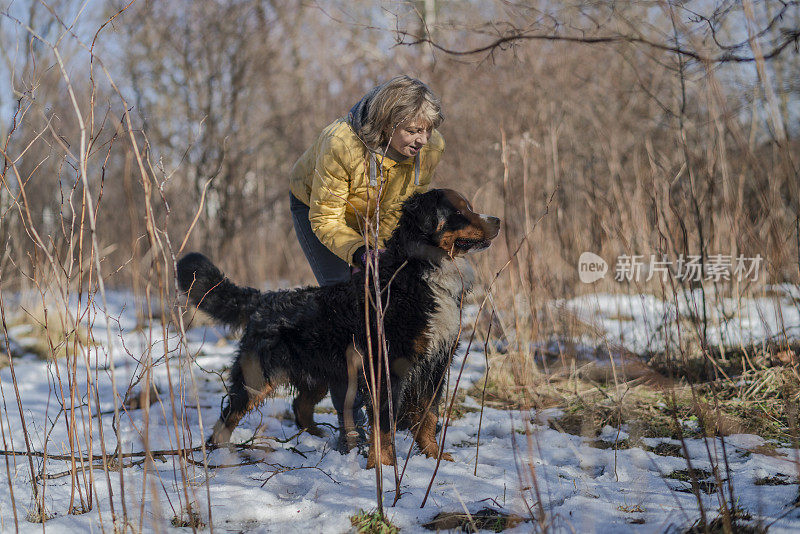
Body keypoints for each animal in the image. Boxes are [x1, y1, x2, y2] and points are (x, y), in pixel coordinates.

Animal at [178, 189, 496, 468]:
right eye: (459, 212)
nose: (497, 221)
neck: (417, 273)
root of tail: (263, 298)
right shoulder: (387, 367)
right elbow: (384, 425)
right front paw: (382, 465)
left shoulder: (437, 364)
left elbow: (429, 415)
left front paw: (433, 456)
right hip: (257, 378)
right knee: (227, 419)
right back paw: (221, 453)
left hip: (321, 374)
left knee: (300, 406)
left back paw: (319, 439)